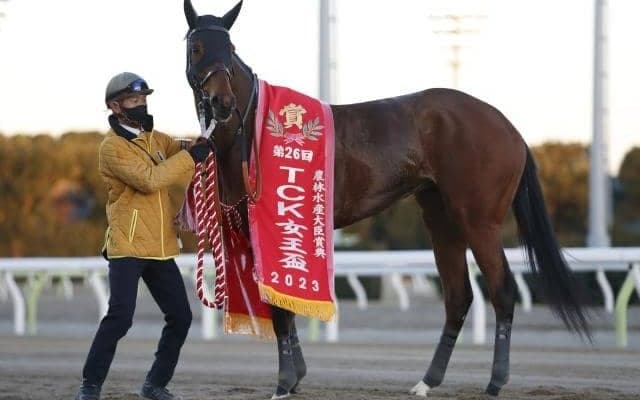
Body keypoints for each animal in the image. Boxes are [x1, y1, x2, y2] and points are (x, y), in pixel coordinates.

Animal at [182, 1, 591, 398]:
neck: (252, 129)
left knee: (502, 290)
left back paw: (495, 382)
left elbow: (281, 307)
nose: (222, 101)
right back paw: (427, 381)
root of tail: (510, 128)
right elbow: (285, 302)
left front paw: (284, 384)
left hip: (478, 220)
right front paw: (296, 378)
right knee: (458, 296)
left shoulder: (273, 225)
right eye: (197, 47)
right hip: (441, 219)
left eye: (230, 49)